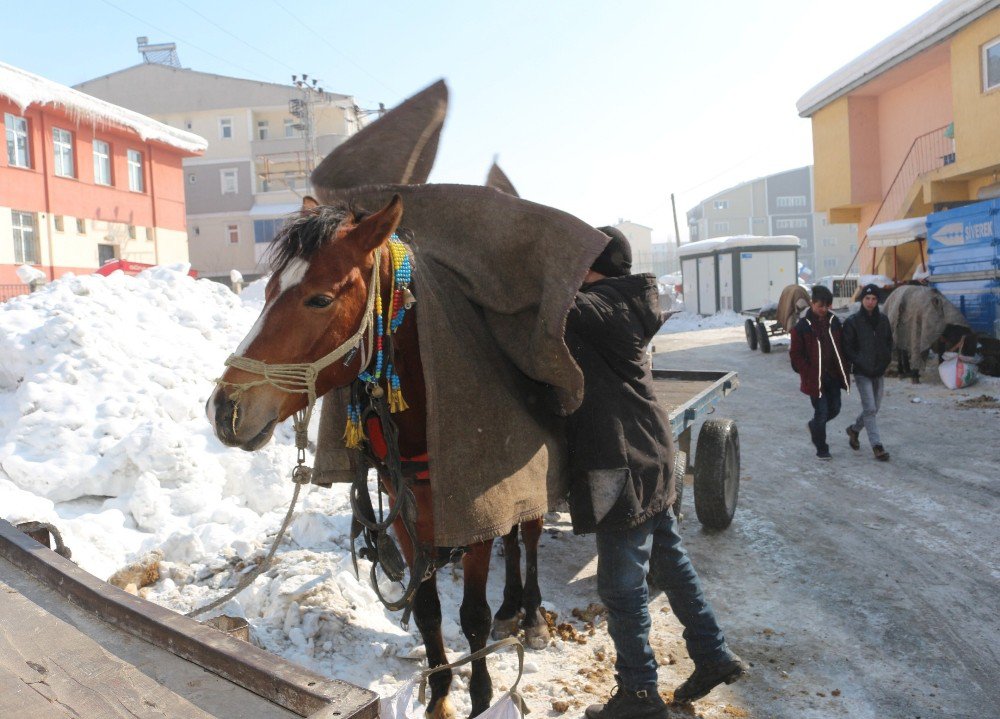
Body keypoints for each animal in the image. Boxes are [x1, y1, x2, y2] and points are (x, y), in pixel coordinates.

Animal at [209, 195, 548, 719]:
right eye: (266, 290)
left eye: (320, 299)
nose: (225, 409)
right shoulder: (407, 508)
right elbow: (427, 608)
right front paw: (440, 695)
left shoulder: (474, 507)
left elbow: (472, 615)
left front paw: (481, 698)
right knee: (512, 540)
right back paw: (512, 607)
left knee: (527, 537)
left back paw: (529, 614)